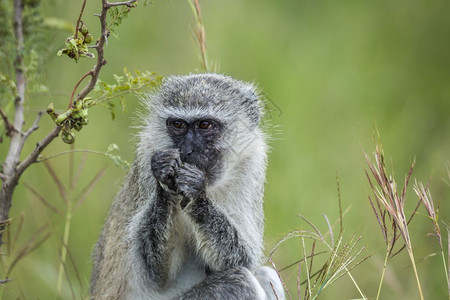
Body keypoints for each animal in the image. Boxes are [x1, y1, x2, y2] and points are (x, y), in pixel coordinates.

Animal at [89, 73, 284, 300]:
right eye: (178, 125)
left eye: (205, 125)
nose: (187, 150)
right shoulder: (148, 154)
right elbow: (157, 274)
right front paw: (165, 175)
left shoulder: (252, 161)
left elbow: (244, 257)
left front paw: (195, 193)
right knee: (240, 281)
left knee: (264, 274)